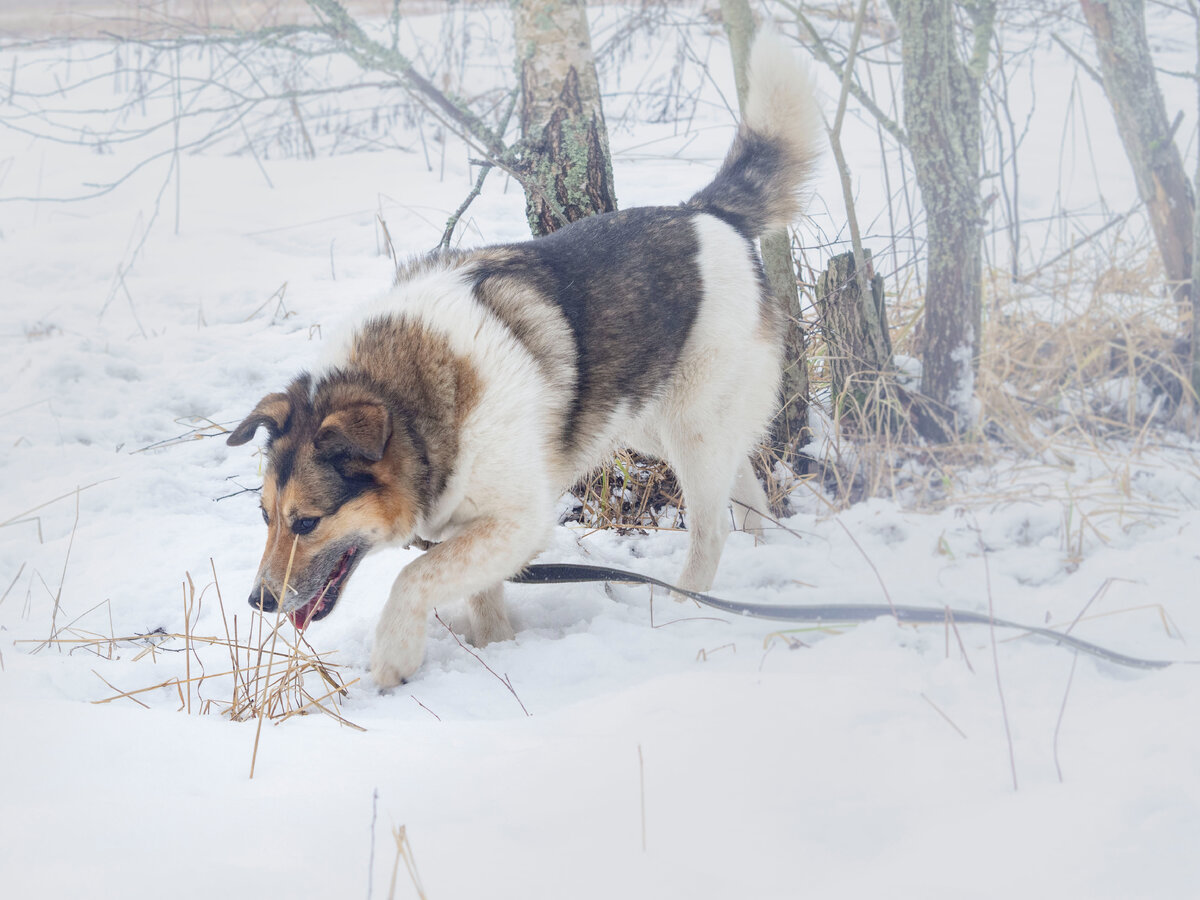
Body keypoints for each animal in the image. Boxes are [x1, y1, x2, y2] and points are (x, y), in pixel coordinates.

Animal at [226, 31, 816, 686]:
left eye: (307, 522)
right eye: (265, 516)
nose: (259, 601)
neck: (414, 407)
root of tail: (709, 213)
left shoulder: (517, 522)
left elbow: (414, 575)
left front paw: (394, 657)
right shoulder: (476, 527)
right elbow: (476, 595)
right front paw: (496, 650)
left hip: (691, 427)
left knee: (710, 530)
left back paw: (684, 603)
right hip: (651, 421)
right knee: (743, 481)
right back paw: (764, 550)